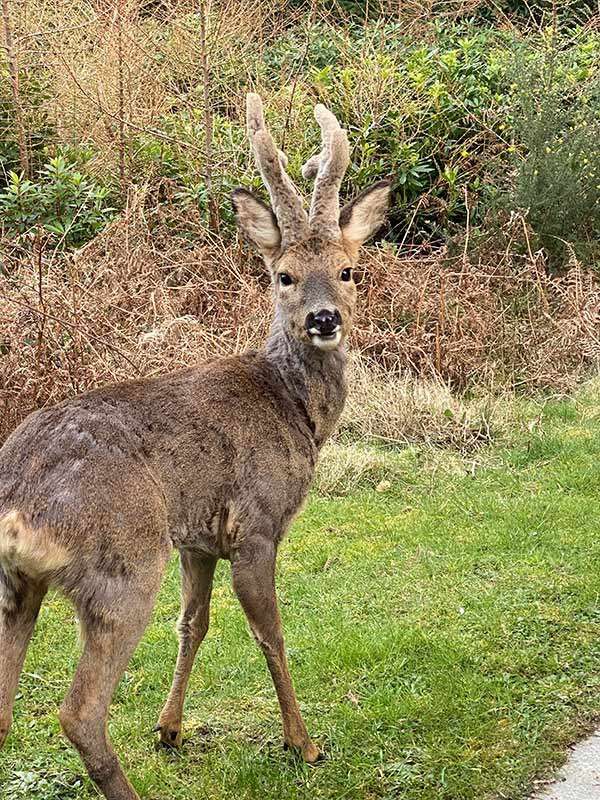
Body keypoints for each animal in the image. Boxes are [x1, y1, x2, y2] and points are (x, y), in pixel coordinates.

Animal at [0, 94, 391, 800]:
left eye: (348, 271)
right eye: (284, 275)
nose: (325, 319)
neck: (294, 408)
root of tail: (18, 504)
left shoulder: (199, 538)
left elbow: (194, 623)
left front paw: (170, 729)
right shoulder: (255, 524)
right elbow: (270, 634)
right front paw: (303, 743)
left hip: (20, 584)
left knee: (4, 707)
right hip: (122, 567)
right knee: (78, 712)